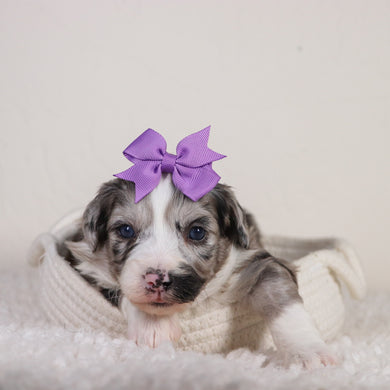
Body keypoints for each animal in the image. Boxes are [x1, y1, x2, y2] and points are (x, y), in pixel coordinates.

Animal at [60, 175, 336, 368]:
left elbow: (279, 294)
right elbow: (117, 290)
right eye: (126, 230)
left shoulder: (258, 260)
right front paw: (153, 326)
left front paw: (308, 351)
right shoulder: (84, 266)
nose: (156, 279)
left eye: (196, 232)